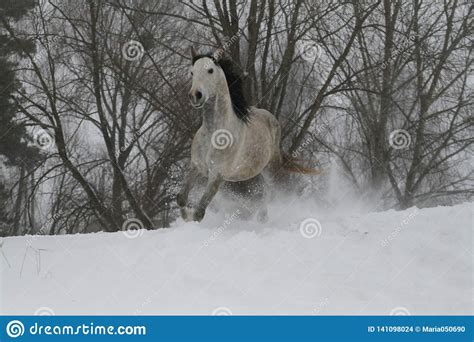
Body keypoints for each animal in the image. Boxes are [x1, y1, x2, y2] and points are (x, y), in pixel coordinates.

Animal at [176, 46, 316, 222]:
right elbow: (181, 198)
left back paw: (262, 217)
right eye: (192, 72)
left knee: (269, 191)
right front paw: (184, 216)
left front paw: (190, 219)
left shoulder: (217, 176)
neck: (215, 133)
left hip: (269, 169)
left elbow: (199, 212)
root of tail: (271, 118)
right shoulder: (196, 167)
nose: (195, 95)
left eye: (210, 70)